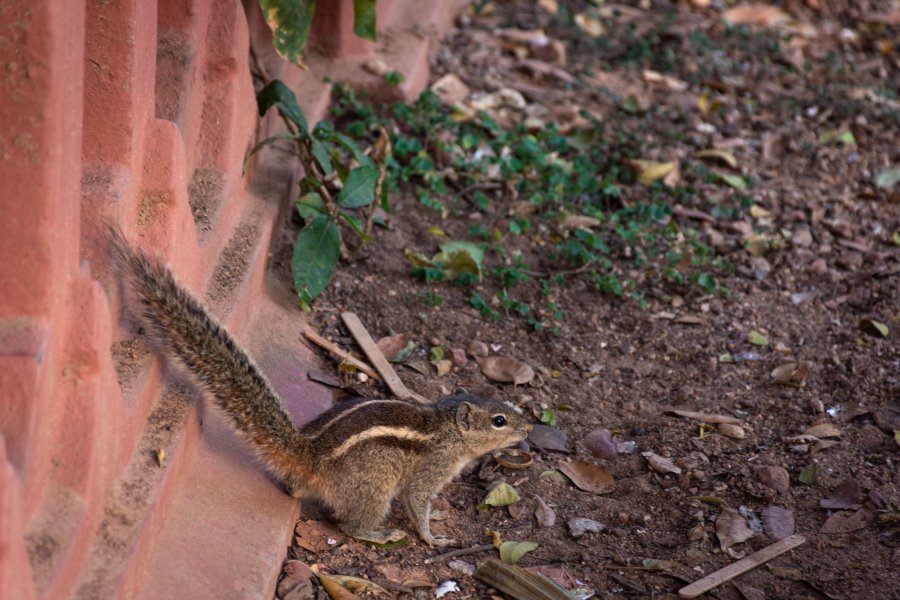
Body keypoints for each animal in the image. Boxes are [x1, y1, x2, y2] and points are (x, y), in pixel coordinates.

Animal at [112, 231, 536, 548]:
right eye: (499, 420)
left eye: (507, 404)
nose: (529, 428)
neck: (447, 426)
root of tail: (309, 456)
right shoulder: (431, 471)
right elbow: (417, 502)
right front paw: (433, 538)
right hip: (375, 486)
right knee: (351, 525)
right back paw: (381, 534)